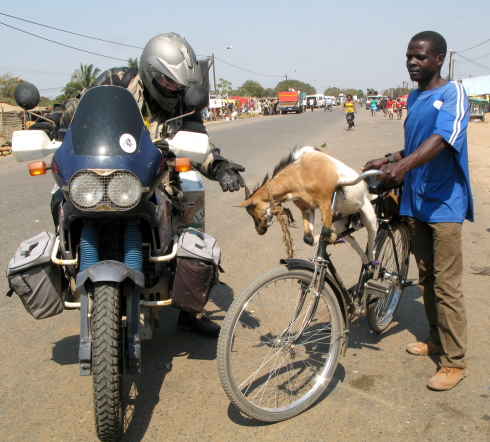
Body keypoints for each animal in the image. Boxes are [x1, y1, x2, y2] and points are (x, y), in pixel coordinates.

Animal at [237, 147, 378, 264]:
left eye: (252, 211)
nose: (259, 231)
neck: (302, 171)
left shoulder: (325, 202)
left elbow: (325, 231)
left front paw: (330, 237)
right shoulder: (307, 208)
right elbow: (307, 238)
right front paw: (329, 238)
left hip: (366, 210)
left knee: (372, 231)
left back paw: (372, 258)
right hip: (340, 222)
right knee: (351, 237)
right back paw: (364, 258)